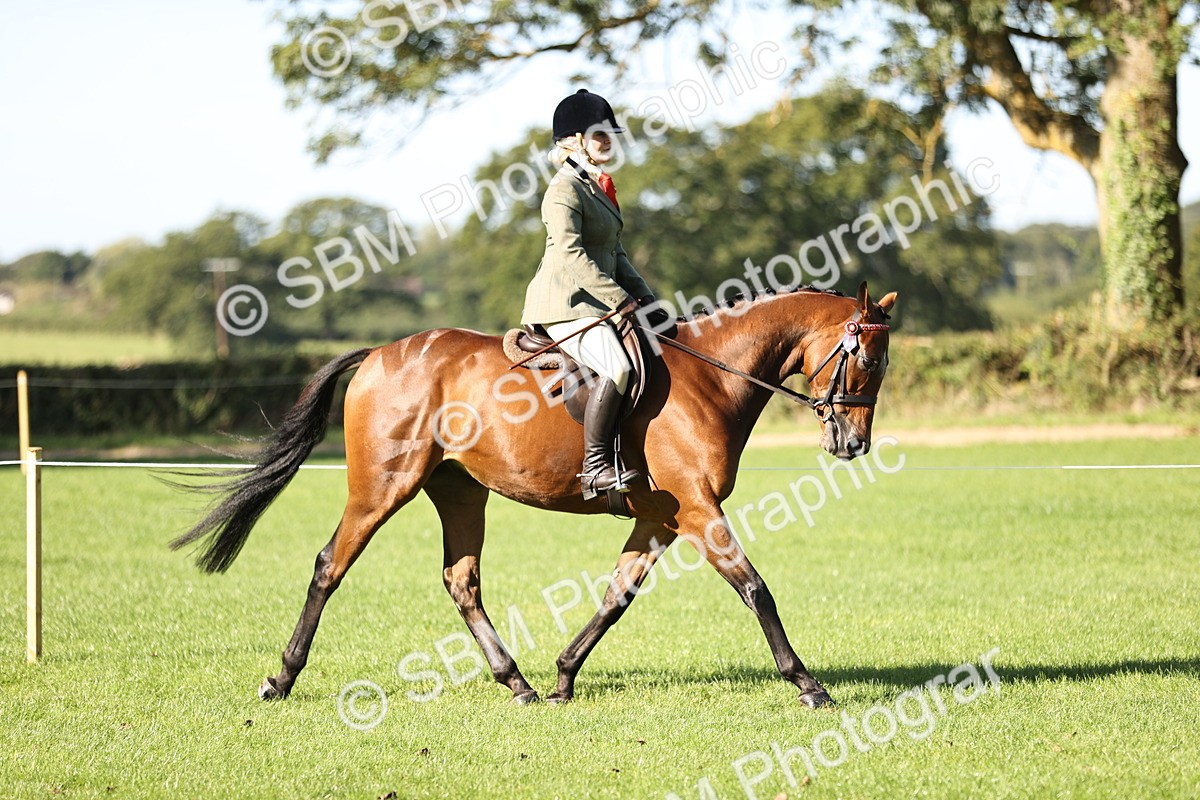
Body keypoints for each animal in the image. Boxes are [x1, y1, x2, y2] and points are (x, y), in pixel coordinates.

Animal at [172, 281, 897, 708]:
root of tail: (379, 352)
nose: (853, 444)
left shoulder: (660, 520)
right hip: (383, 485)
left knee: (461, 580)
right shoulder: (697, 511)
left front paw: (565, 676)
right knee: (331, 564)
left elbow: (615, 598)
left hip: (460, 491)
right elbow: (755, 588)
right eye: (865, 359)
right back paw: (281, 678)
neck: (710, 380)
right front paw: (808, 684)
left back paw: (515, 682)